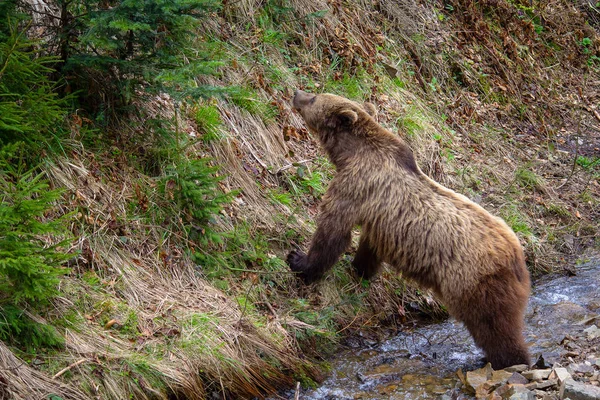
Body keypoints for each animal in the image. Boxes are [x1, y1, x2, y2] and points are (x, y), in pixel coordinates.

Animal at [290, 90, 528, 368]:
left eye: (314, 97)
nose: (296, 93)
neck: (350, 154)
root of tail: (516, 253)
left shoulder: (355, 186)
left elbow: (332, 231)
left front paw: (299, 261)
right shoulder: (377, 215)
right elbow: (369, 247)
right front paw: (359, 269)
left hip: (474, 283)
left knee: (494, 327)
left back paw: (508, 360)